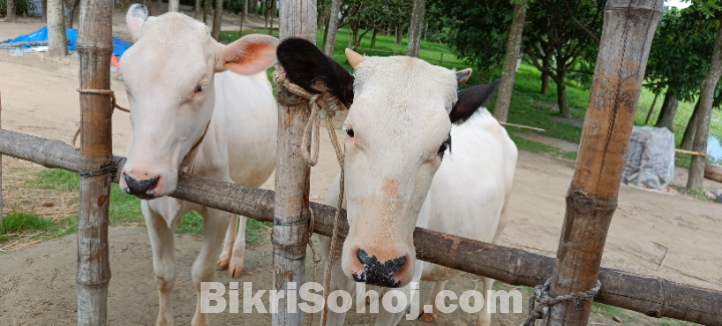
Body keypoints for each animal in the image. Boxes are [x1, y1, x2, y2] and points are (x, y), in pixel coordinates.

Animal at [119, 4, 278, 324]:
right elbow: (164, 274)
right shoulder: (149, 208)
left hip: (252, 179)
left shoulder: (216, 209)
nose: (140, 180)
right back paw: (226, 256)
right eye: (125, 81)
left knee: (243, 216)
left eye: (200, 87)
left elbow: (201, 276)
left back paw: (236, 257)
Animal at [274, 40, 512, 326]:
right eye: (350, 130)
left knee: (488, 279)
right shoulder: (336, 280)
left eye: (444, 145)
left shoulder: (400, 296)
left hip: (499, 228)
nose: (380, 264)